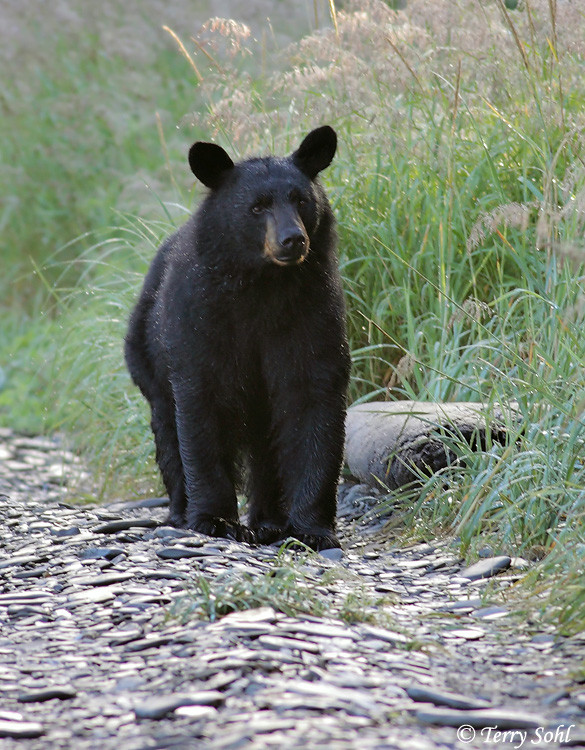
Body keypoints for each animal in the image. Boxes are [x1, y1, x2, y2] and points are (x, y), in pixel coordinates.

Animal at [124, 125, 350, 551]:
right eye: (257, 207)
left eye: (301, 200)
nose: (293, 239)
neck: (264, 286)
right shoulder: (201, 319)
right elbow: (202, 407)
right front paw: (214, 519)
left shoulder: (311, 313)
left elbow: (312, 400)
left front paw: (312, 529)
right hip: (146, 357)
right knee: (167, 429)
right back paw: (180, 511)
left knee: (266, 448)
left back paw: (268, 521)